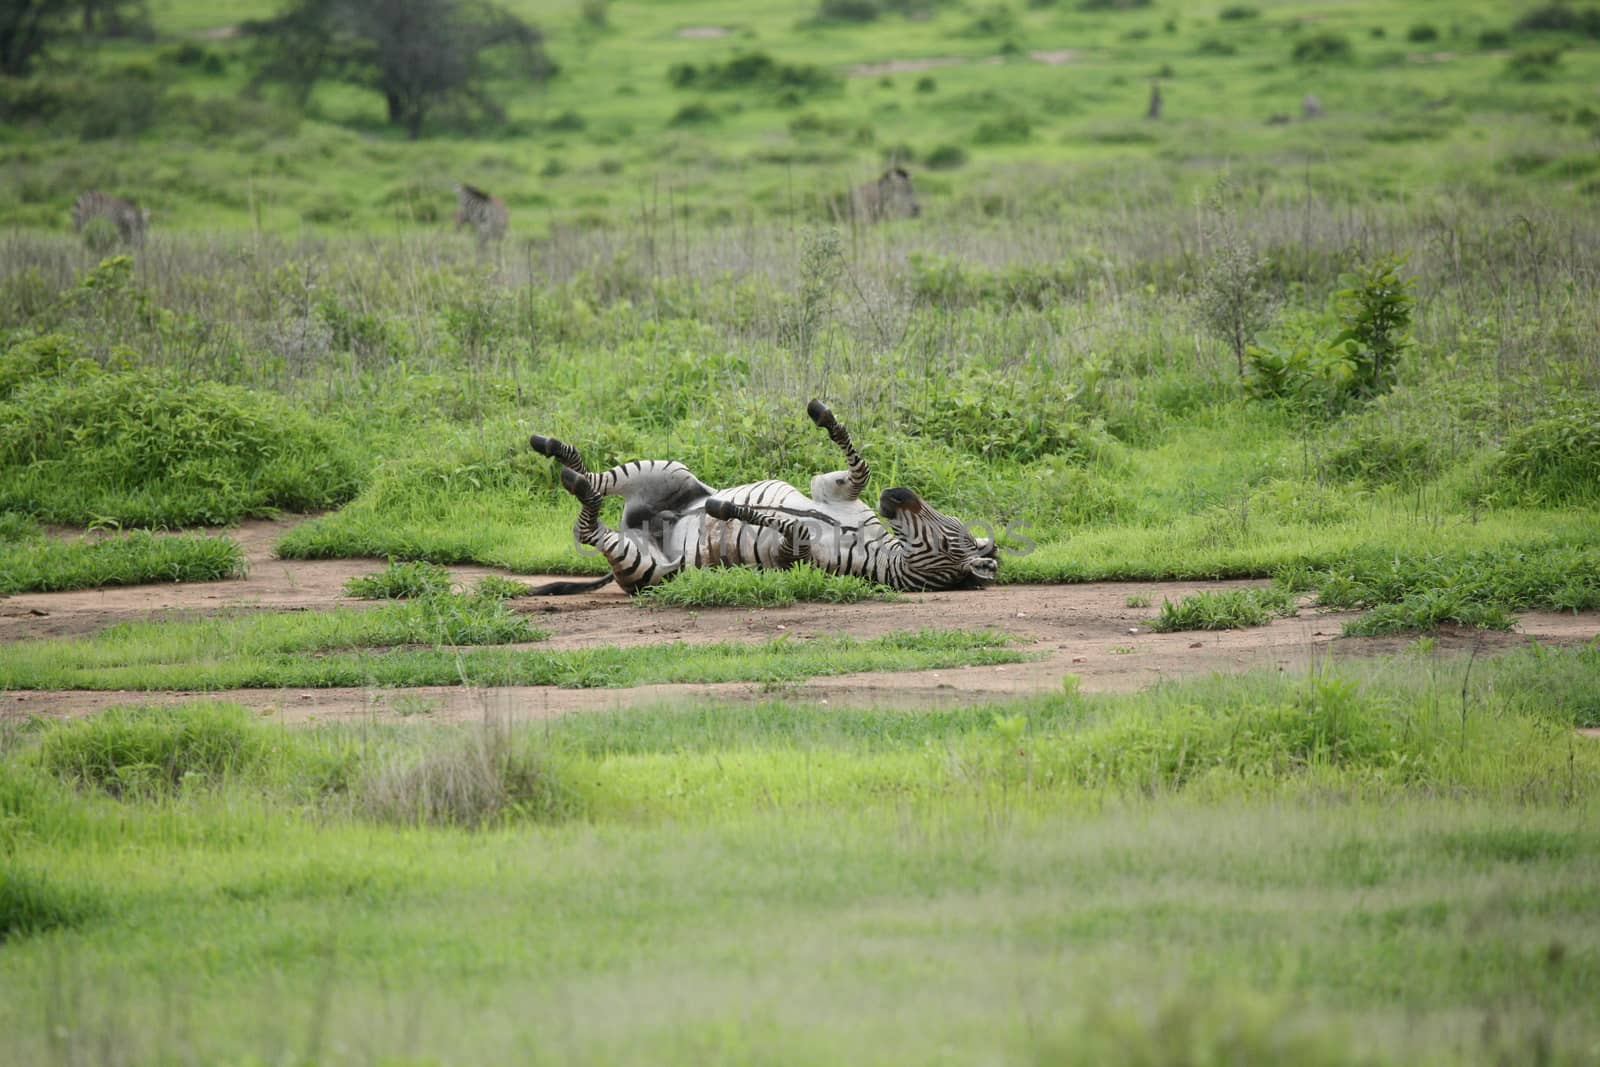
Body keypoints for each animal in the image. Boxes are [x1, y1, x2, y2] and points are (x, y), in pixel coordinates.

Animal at [524, 399, 998, 598]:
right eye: (953, 526)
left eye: (947, 540)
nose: (897, 493)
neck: (877, 548)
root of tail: (642, 522)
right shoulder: (831, 489)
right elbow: (859, 467)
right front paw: (821, 413)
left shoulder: (791, 556)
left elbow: (794, 527)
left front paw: (723, 508)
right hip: (670, 471)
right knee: (597, 479)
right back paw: (554, 450)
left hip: (648, 568)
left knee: (588, 528)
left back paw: (574, 483)